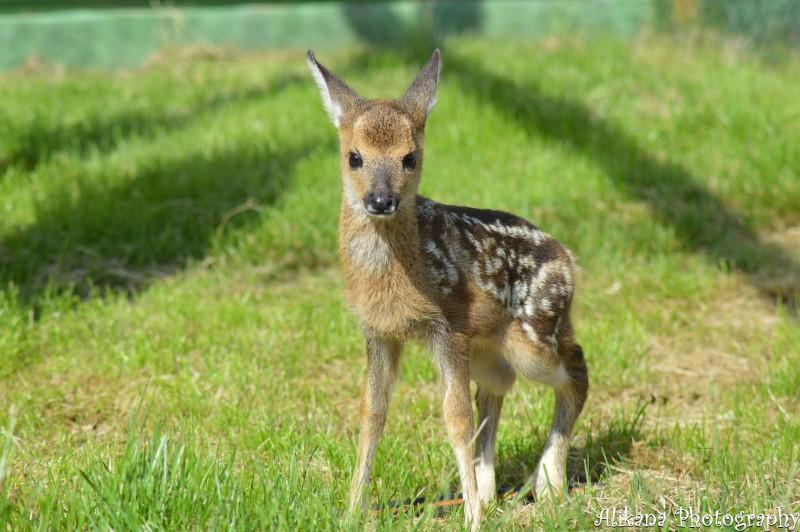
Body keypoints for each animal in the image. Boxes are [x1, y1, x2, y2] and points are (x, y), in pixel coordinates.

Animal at [306, 48, 588, 528]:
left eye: (409, 157)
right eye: (354, 157)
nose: (380, 200)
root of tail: (567, 257)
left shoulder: (448, 327)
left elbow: (455, 419)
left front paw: (471, 519)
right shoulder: (378, 333)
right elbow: (371, 414)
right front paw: (350, 512)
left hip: (533, 335)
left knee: (577, 367)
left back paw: (548, 483)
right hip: (490, 345)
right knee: (499, 384)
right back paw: (492, 492)